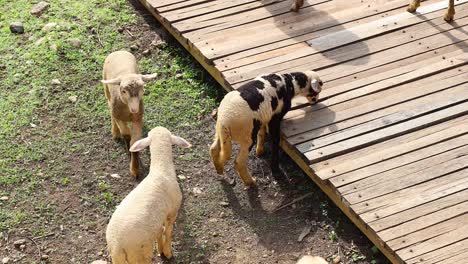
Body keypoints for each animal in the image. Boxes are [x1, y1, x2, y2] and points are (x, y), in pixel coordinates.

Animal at [101, 50, 158, 178]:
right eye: (123, 91)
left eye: (142, 89)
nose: (134, 109)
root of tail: (119, 51)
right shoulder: (119, 116)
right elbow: (127, 135)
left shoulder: (138, 119)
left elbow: (135, 141)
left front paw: (135, 169)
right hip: (106, 89)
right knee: (109, 107)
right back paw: (115, 132)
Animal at [106, 127, 192, 262]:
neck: (161, 169)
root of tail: (117, 247)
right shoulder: (172, 211)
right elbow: (168, 231)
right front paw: (168, 252)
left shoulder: (158, 220)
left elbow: (159, 232)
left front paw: (161, 249)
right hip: (138, 254)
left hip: (119, 259)